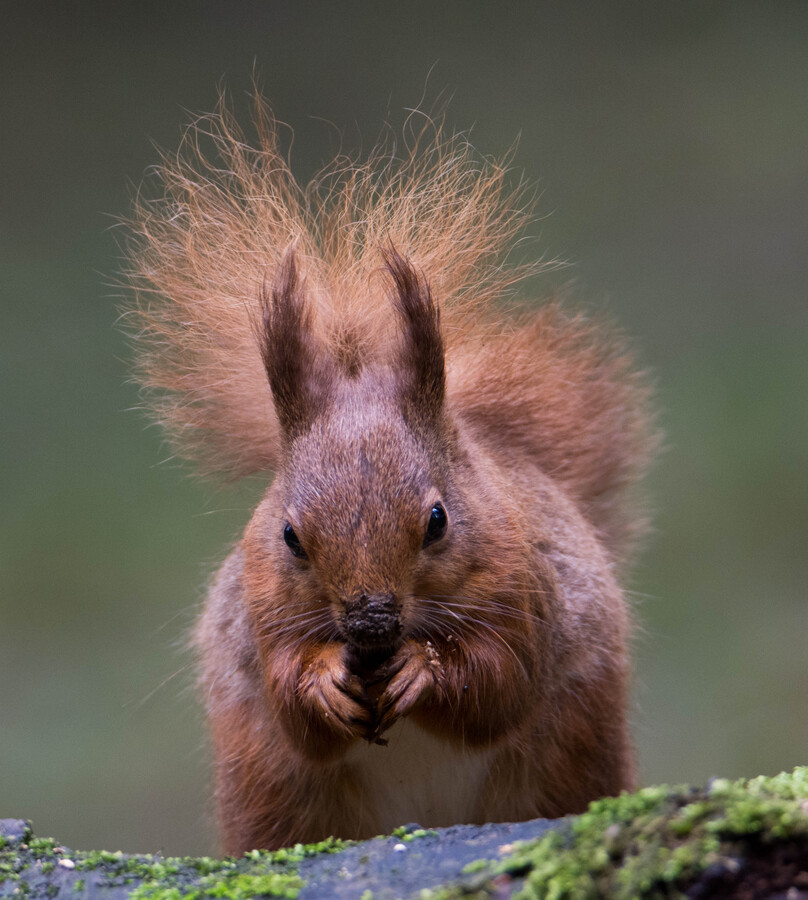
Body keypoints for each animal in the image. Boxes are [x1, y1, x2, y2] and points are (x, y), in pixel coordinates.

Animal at [123, 95, 655, 854]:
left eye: (438, 520)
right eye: (289, 535)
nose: (370, 618)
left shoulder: (526, 591)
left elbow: (500, 683)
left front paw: (421, 670)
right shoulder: (263, 613)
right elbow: (291, 700)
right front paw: (322, 683)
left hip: (568, 756)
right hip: (272, 791)